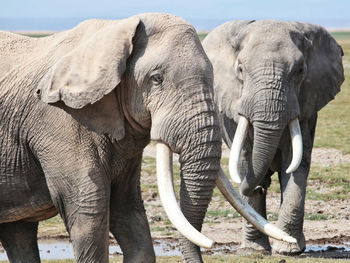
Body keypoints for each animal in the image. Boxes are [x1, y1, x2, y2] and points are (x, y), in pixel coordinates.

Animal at [0, 13, 296, 263]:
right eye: (156, 79)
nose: (210, 246)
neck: (116, 29)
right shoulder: (59, 121)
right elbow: (89, 210)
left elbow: (128, 213)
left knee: (19, 233)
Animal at [202, 20, 344, 256]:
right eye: (240, 69)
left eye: (300, 70)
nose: (259, 187)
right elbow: (245, 160)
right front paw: (254, 251)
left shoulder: (305, 105)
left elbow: (295, 163)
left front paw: (288, 250)